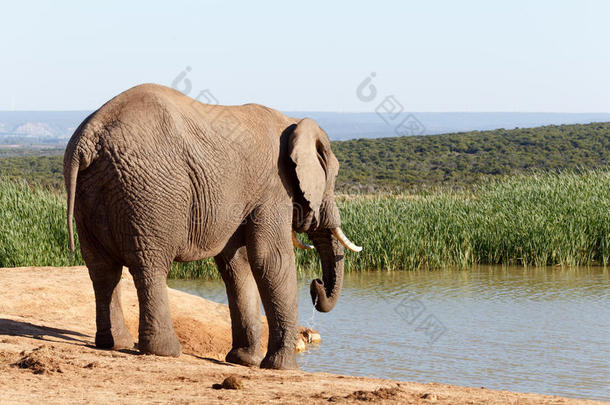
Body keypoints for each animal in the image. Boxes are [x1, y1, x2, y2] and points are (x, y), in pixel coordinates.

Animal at [63, 83, 360, 368]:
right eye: (333, 179)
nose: (316, 285)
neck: (293, 122)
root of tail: (88, 138)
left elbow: (237, 264)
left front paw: (244, 361)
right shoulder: (274, 188)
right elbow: (271, 260)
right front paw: (282, 368)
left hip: (90, 193)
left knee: (102, 270)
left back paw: (114, 344)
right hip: (149, 193)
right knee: (150, 266)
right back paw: (165, 351)